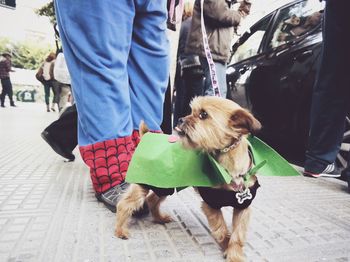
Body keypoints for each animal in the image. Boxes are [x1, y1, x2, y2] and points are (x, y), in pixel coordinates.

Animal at [176, 96, 262, 262]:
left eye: (203, 114)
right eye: (192, 110)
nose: (179, 119)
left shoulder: (243, 207)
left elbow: (237, 234)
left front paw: (234, 254)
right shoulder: (211, 204)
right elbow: (221, 229)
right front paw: (226, 246)